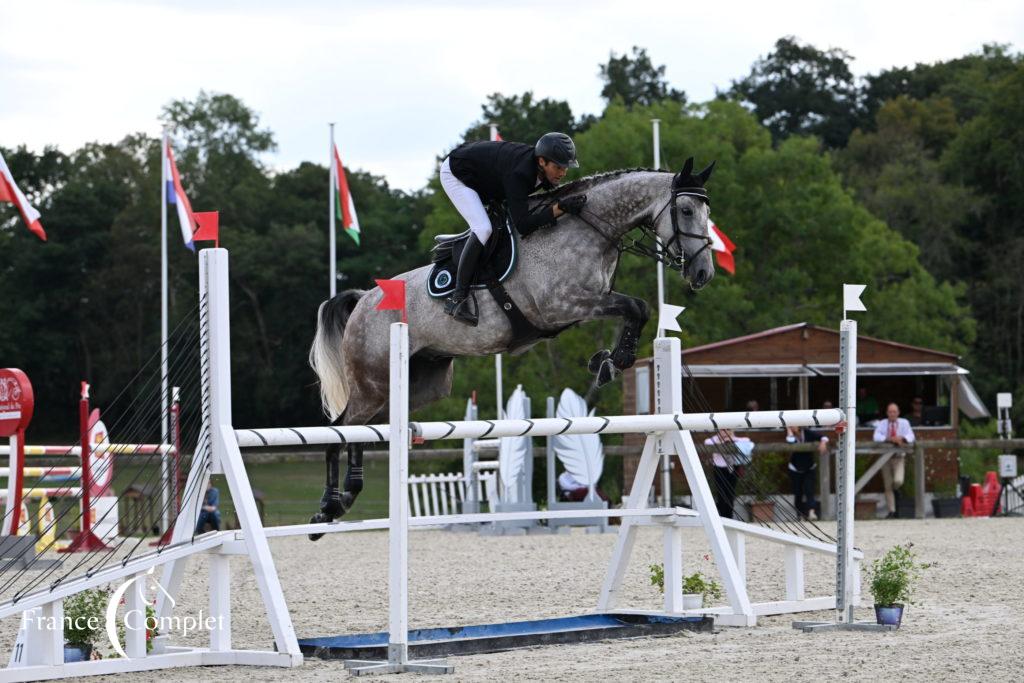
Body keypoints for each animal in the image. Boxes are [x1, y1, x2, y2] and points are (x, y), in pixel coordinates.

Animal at [305, 157, 712, 536]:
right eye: (686, 210)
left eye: (707, 212)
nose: (703, 273)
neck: (586, 230)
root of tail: (364, 298)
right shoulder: (564, 305)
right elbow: (635, 306)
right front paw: (614, 361)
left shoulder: (586, 303)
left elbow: (637, 309)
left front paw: (608, 361)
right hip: (372, 383)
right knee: (339, 430)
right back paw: (327, 508)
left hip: (416, 387)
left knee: (364, 429)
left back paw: (347, 495)